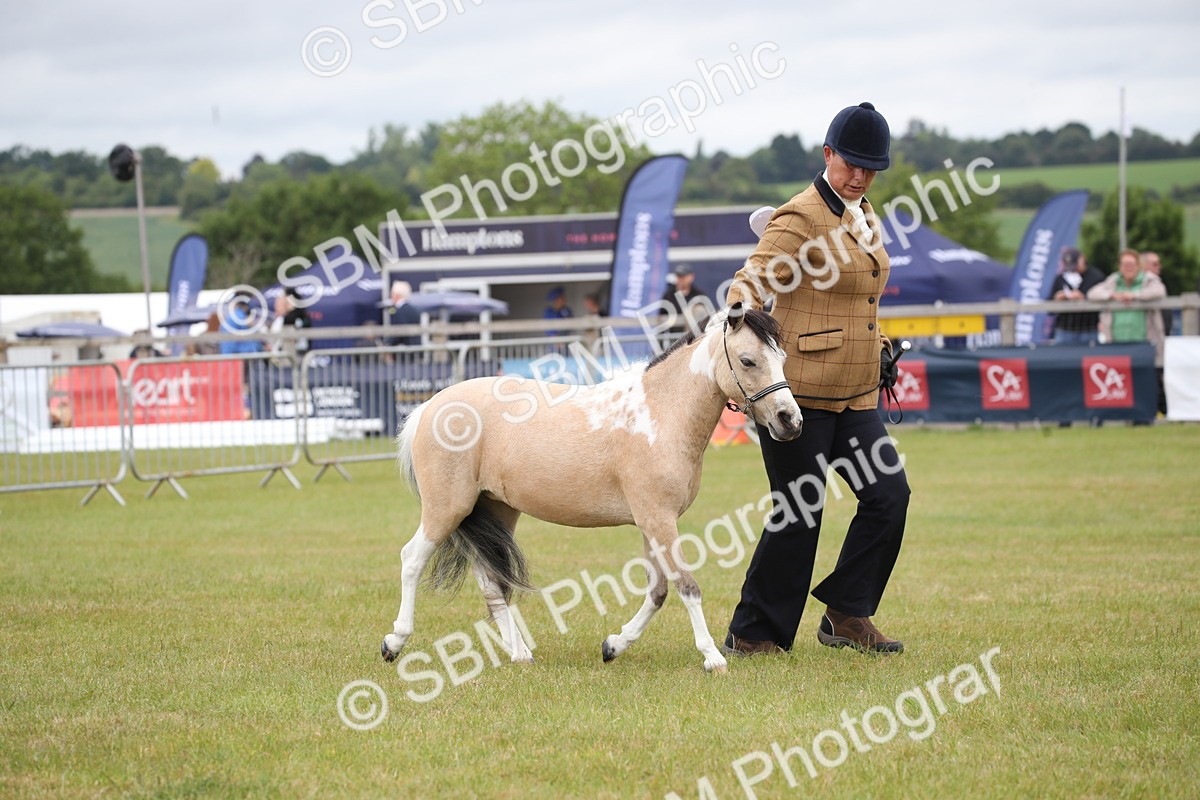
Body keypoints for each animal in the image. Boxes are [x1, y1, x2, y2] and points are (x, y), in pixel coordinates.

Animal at [381, 303, 803, 673]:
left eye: (782, 357)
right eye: (748, 360)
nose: (790, 421)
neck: (659, 414)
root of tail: (428, 407)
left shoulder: (652, 523)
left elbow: (658, 592)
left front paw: (614, 645)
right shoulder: (660, 520)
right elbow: (687, 586)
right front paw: (712, 657)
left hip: (496, 510)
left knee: (490, 581)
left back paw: (519, 654)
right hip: (448, 508)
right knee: (411, 559)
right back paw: (394, 642)